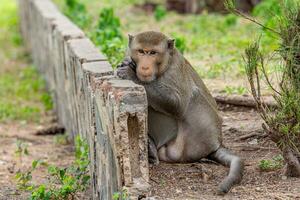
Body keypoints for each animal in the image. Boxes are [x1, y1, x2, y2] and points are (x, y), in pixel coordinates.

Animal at [116, 31, 243, 194]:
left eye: (153, 53)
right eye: (141, 51)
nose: (144, 67)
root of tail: (216, 144)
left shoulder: (175, 69)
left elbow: (177, 104)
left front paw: (130, 73)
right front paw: (127, 63)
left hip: (193, 142)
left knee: (192, 97)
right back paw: (151, 148)